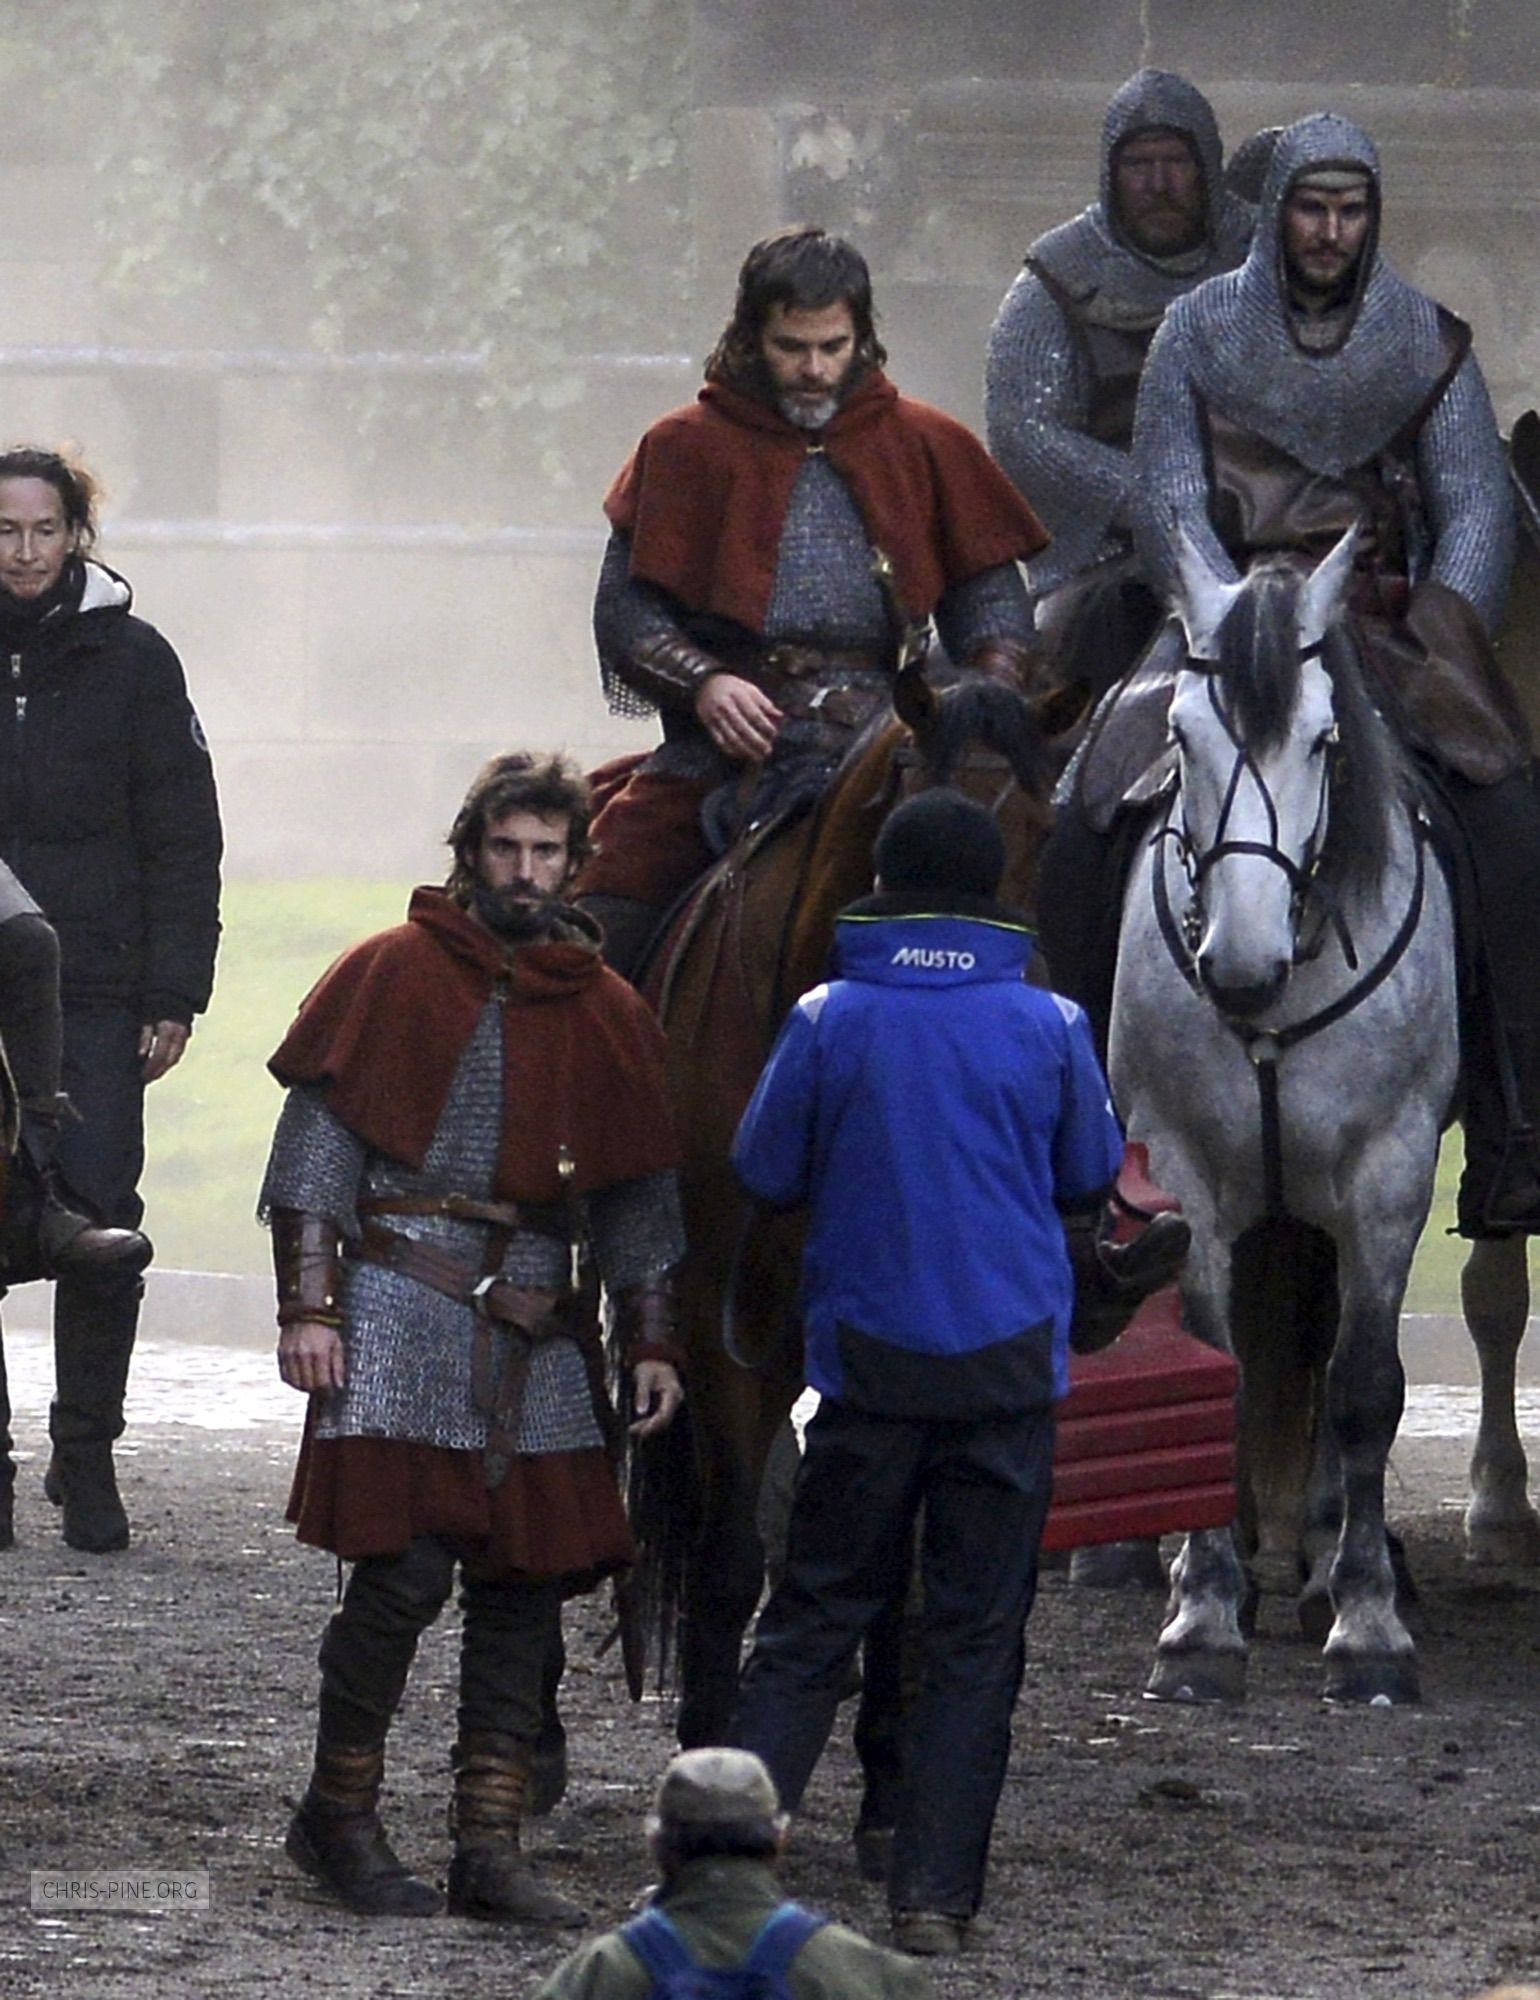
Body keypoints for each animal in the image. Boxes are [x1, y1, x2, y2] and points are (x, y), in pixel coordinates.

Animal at [1109, 525, 1460, 1705]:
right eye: (1179, 734)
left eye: (1322, 740)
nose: (1240, 968)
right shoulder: (1183, 1173)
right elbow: (1215, 1376)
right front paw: (1202, 1622)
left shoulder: (1388, 1178)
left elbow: (1362, 1388)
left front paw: (1369, 1628)